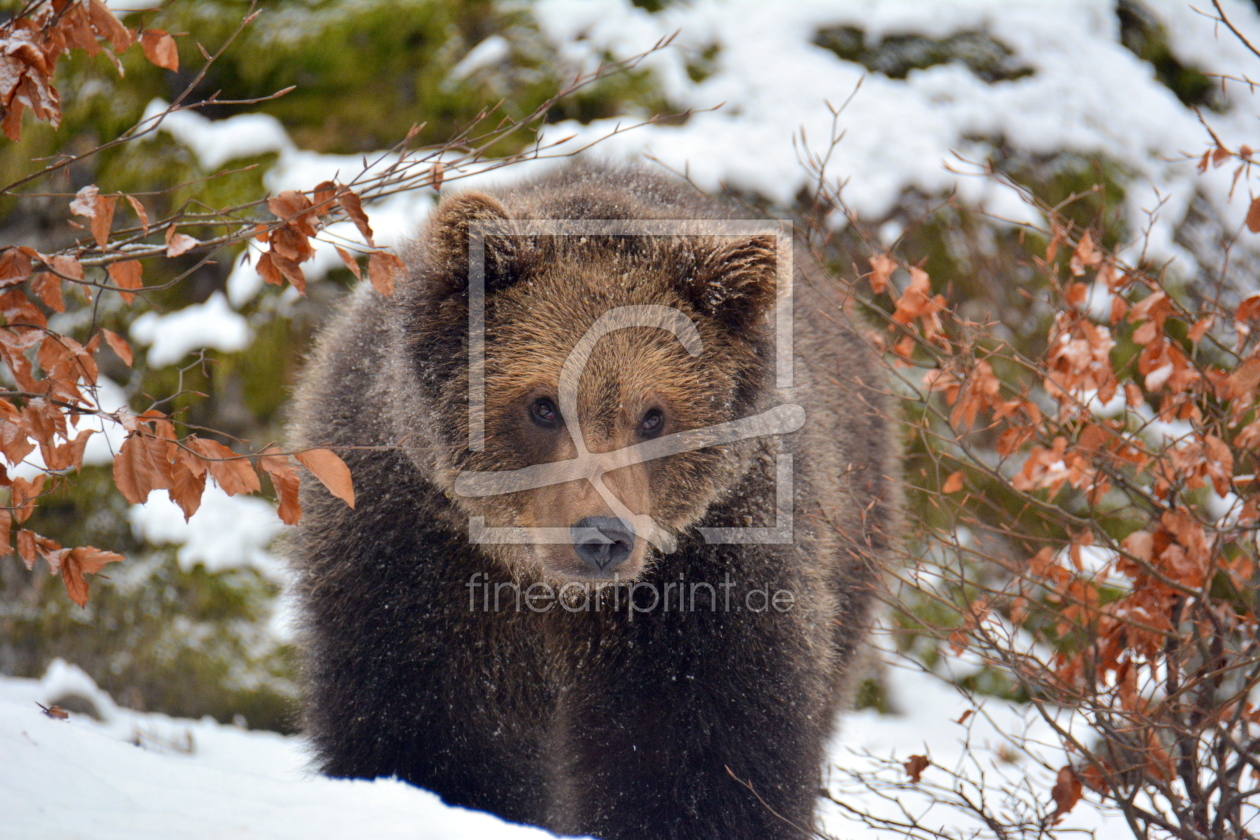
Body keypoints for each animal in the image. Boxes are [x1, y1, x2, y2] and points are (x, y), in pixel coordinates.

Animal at [288, 162, 897, 840]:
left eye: (654, 416)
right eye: (543, 405)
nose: (602, 537)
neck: (547, 587)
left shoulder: (708, 575)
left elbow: (697, 751)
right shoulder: (414, 554)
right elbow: (428, 726)